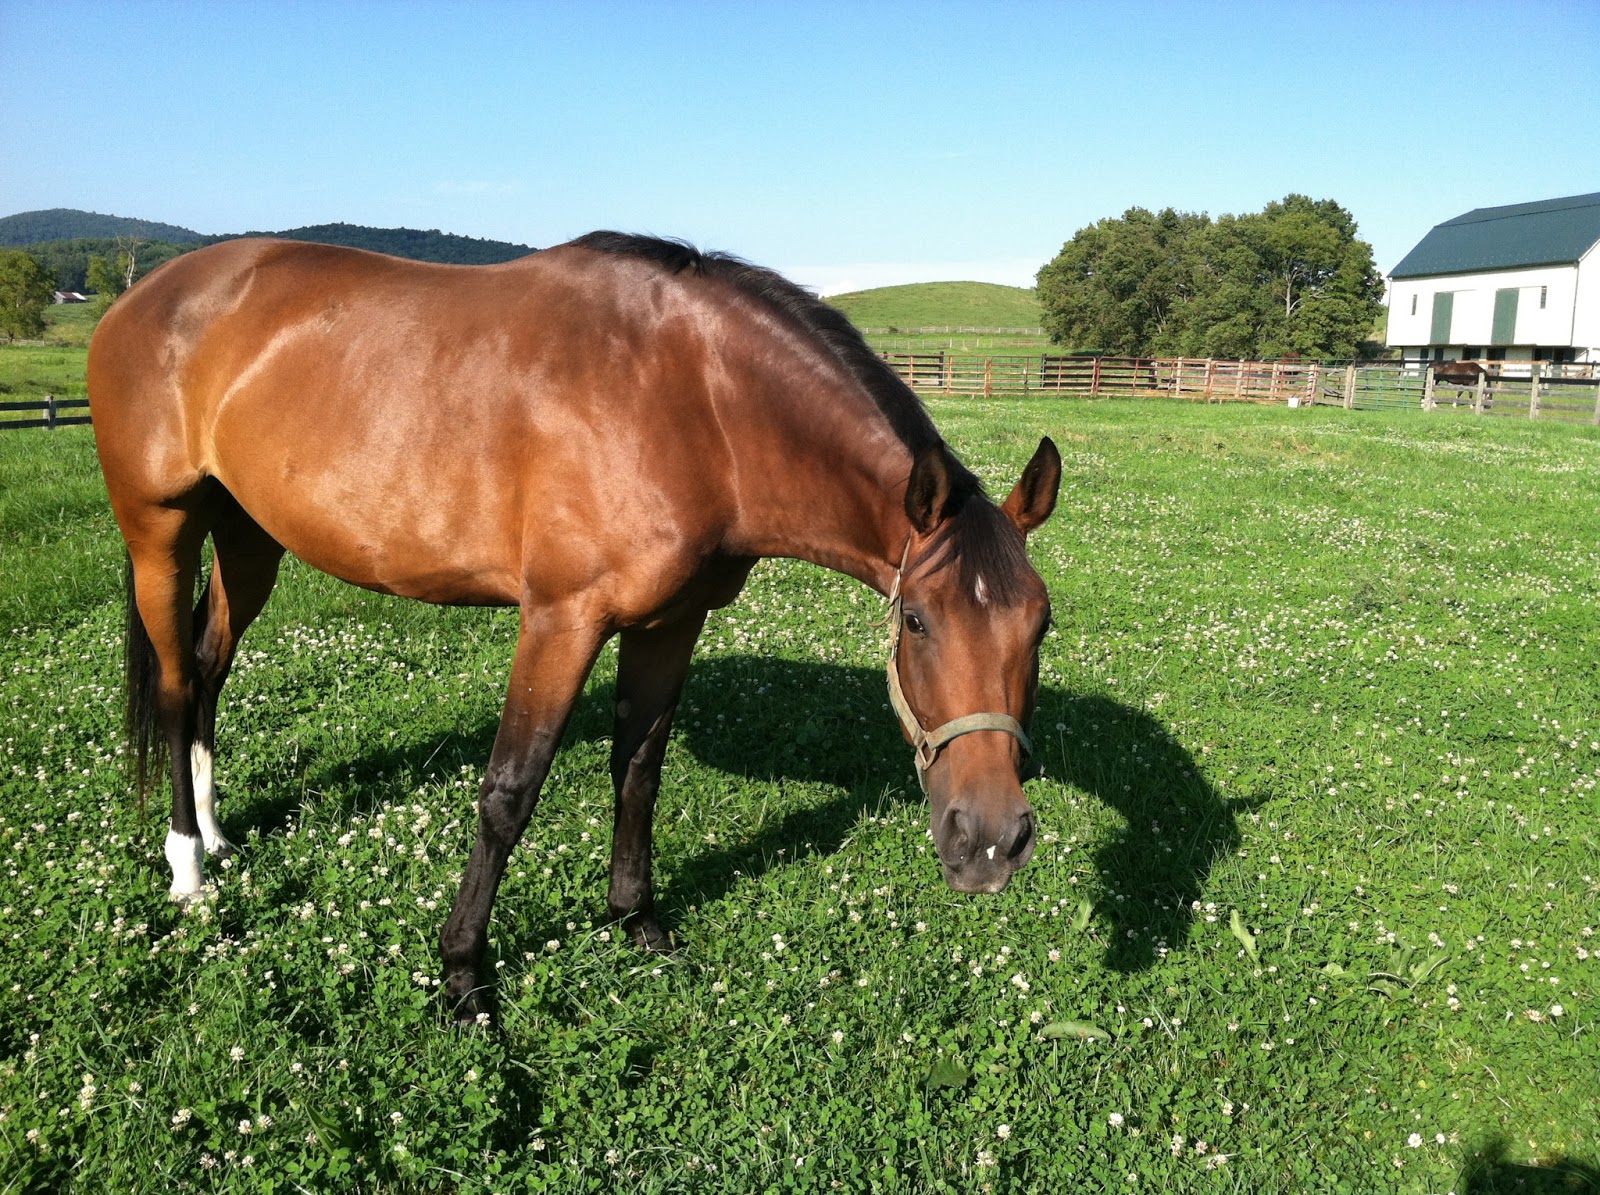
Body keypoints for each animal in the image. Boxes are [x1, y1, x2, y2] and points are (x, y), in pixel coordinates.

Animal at [88, 232, 1061, 1023]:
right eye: (917, 619)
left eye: (1041, 625)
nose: (991, 840)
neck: (694, 399)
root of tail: (144, 296)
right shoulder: (562, 618)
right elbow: (509, 792)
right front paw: (462, 975)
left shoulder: (671, 621)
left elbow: (639, 770)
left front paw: (636, 919)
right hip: (160, 533)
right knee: (176, 682)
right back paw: (188, 867)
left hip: (250, 536)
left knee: (210, 667)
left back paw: (216, 829)